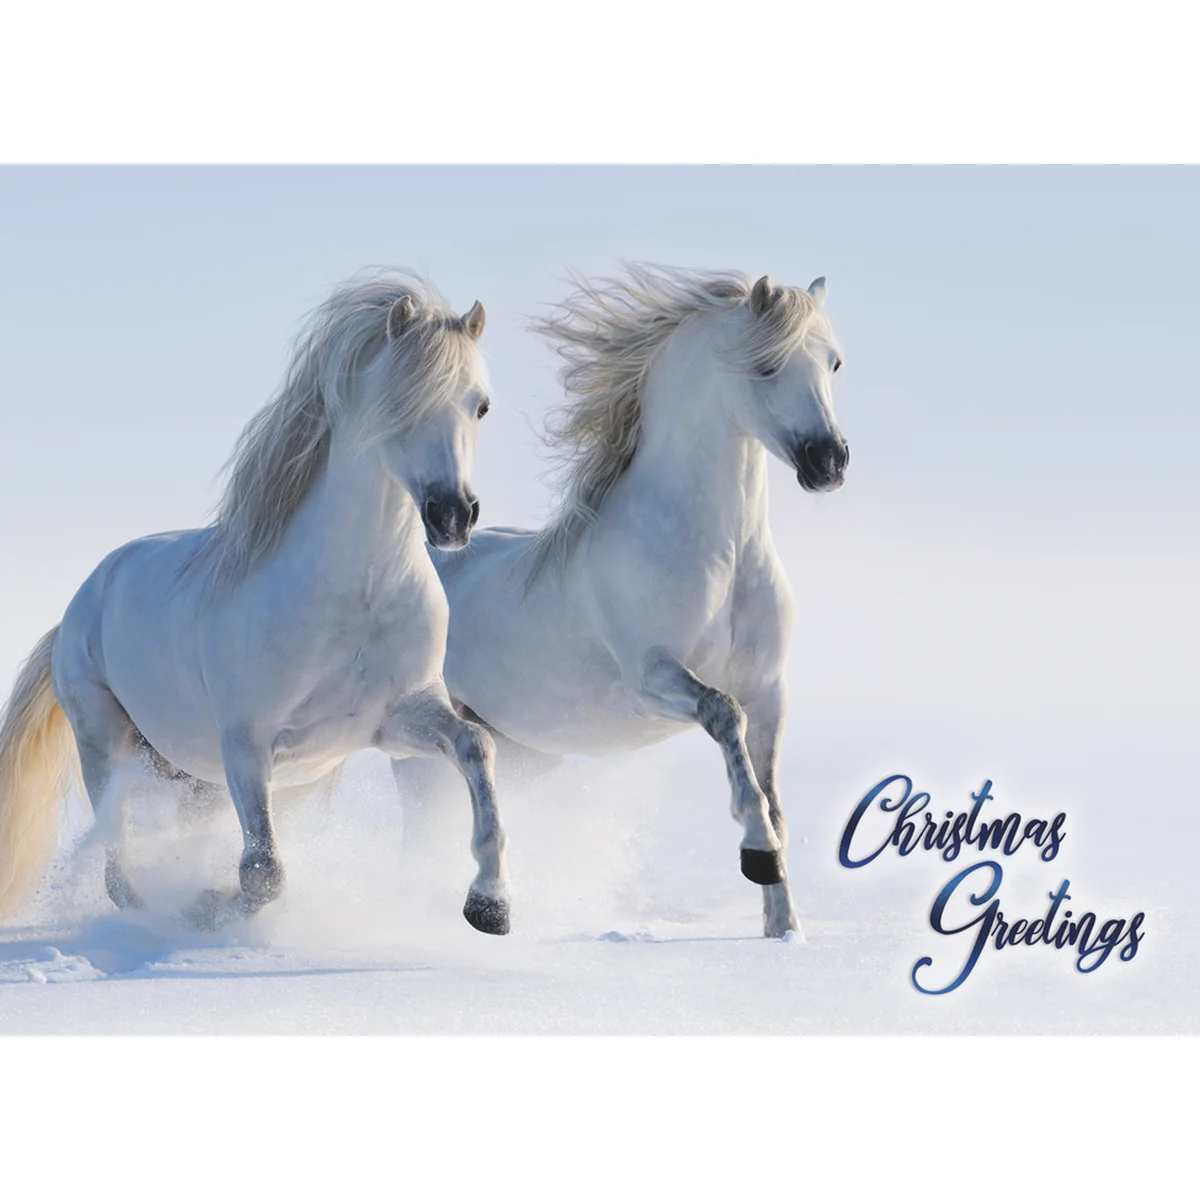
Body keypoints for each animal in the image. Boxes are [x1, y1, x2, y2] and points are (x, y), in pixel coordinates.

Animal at [0, 272, 512, 935]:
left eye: (480, 405)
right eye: (402, 402)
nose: (452, 515)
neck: (356, 596)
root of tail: (78, 607)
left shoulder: (398, 720)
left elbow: (476, 745)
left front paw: (490, 904)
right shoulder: (246, 745)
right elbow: (263, 872)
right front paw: (206, 907)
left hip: (192, 776)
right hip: (104, 740)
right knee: (117, 858)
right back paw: (151, 912)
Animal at [393, 265, 848, 938]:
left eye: (834, 362)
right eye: (766, 366)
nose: (829, 461)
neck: (724, 555)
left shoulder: (770, 690)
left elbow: (774, 797)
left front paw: (783, 928)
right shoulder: (653, 677)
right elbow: (725, 717)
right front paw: (758, 856)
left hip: (524, 752)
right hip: (420, 751)